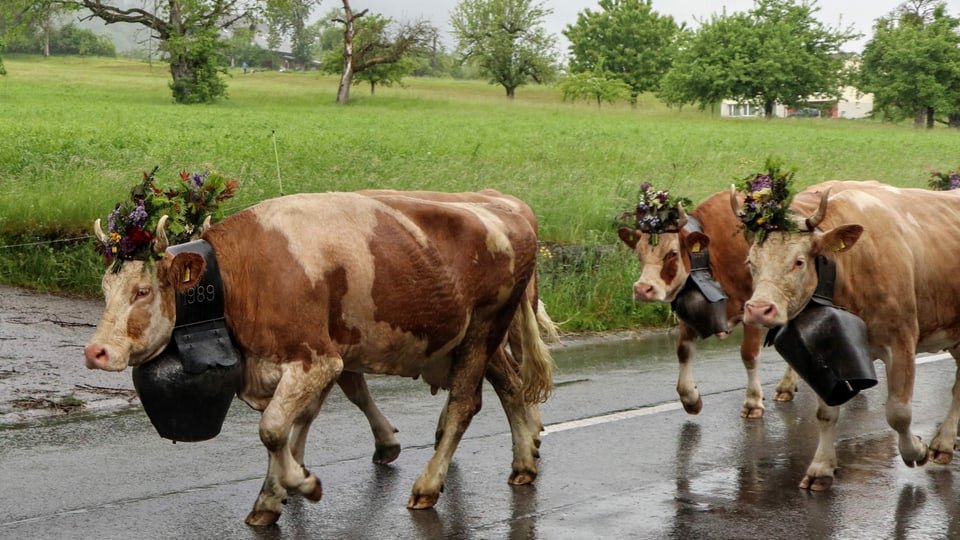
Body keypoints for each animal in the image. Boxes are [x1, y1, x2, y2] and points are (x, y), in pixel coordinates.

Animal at [84, 189, 556, 524]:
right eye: (105, 289)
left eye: (143, 291)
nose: (95, 351)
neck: (245, 275)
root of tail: (507, 206)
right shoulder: (298, 362)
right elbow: (289, 426)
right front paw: (271, 500)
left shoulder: (319, 359)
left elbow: (274, 429)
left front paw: (302, 484)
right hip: (473, 339)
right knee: (511, 387)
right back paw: (523, 462)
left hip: (484, 328)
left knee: (465, 403)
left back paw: (427, 486)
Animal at [620, 192, 800, 420]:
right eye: (639, 253)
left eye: (672, 253)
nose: (643, 289)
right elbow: (683, 350)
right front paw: (690, 398)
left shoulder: (753, 308)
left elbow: (749, 354)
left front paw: (753, 402)